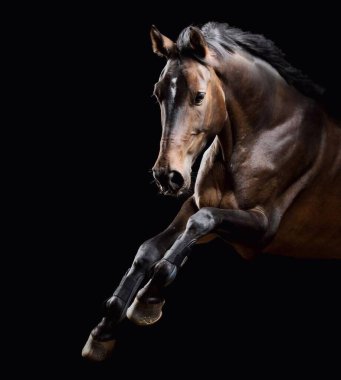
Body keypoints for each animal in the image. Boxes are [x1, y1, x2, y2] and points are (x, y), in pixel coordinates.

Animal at [82, 22, 340, 360]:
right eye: (157, 94)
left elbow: (201, 222)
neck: (268, 132)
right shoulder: (196, 204)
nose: (167, 176)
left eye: (199, 96)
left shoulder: (261, 227)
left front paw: (147, 301)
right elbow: (151, 248)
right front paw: (104, 329)